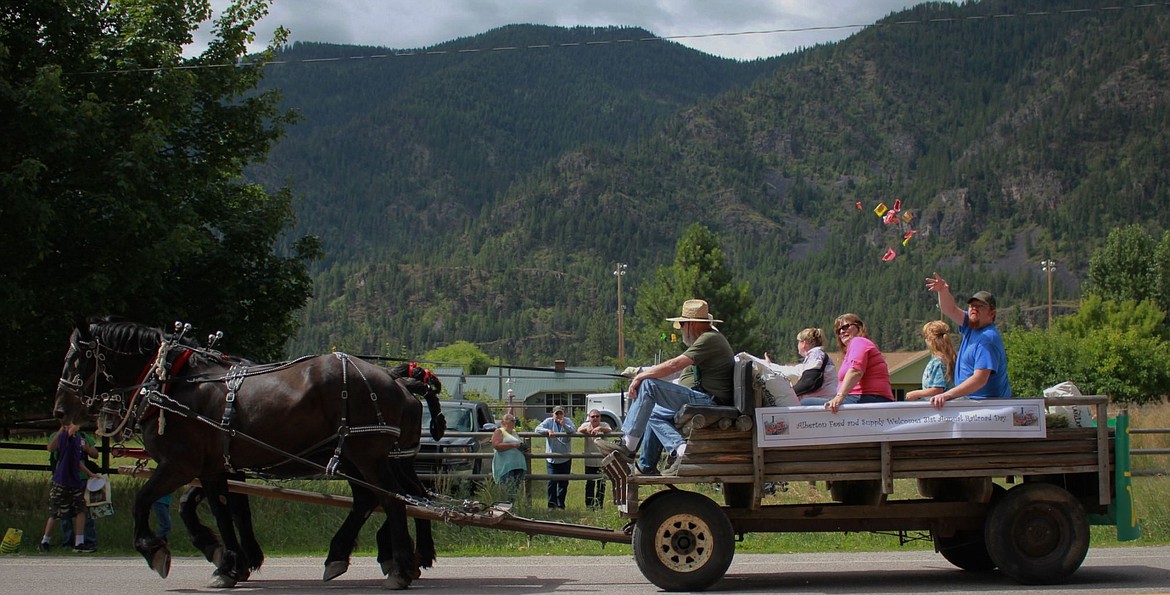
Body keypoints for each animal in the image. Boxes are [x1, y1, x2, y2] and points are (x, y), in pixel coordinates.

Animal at [50, 320, 444, 589]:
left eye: (77, 359)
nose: (60, 409)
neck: (174, 384)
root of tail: (396, 379)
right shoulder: (216, 467)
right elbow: (225, 511)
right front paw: (230, 561)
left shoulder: (180, 464)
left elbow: (145, 500)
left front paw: (155, 549)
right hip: (362, 458)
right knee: (388, 499)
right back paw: (355, 556)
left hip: (369, 457)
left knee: (394, 500)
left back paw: (400, 566)